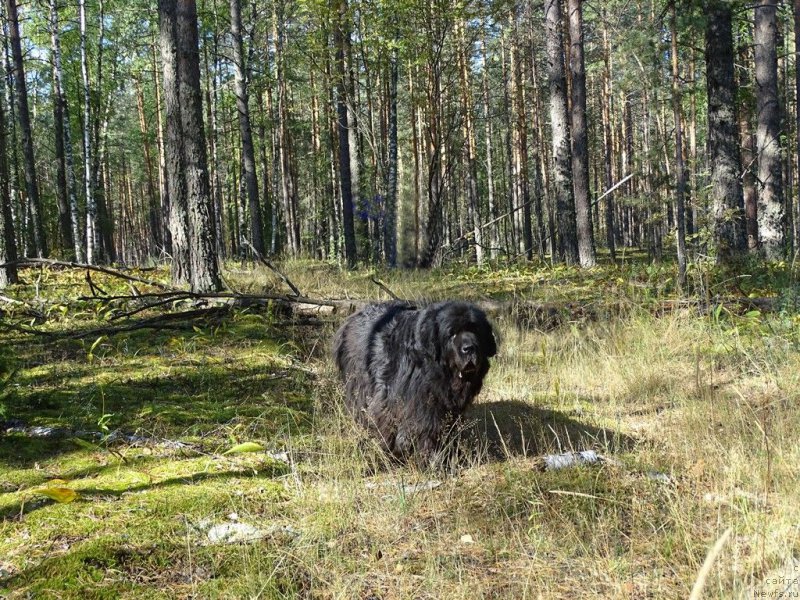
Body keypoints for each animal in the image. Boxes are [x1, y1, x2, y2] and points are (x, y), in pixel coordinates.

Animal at [330, 302, 494, 466]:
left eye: (476, 331)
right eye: (451, 334)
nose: (470, 348)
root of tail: (351, 318)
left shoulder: (445, 405)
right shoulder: (402, 399)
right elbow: (417, 425)